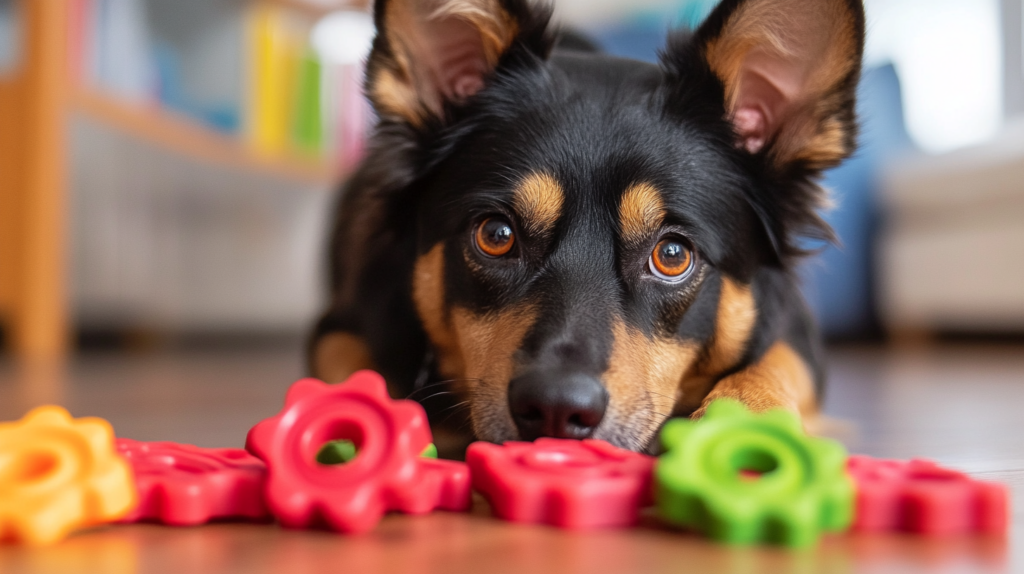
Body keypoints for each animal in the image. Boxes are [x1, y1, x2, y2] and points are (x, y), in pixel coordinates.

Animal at [309, 0, 864, 456]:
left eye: (673, 255)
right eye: (496, 236)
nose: (556, 408)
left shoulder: (796, 334)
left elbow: (773, 369)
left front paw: (739, 422)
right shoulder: (340, 328)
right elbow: (352, 379)